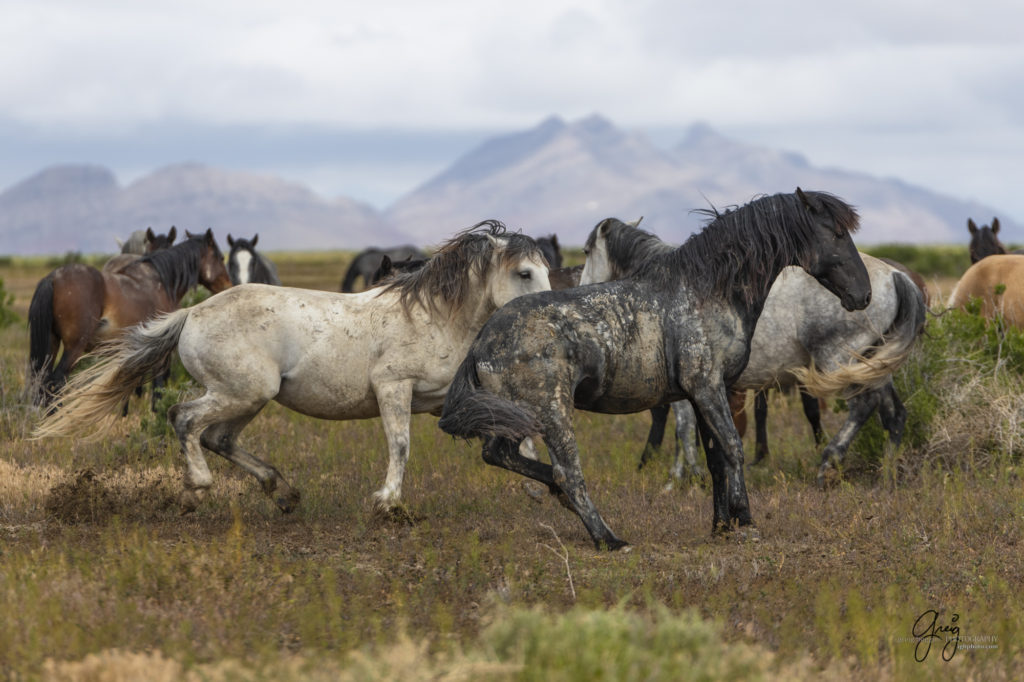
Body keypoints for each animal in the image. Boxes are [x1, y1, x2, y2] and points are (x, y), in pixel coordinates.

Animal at [28, 228, 232, 403]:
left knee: (43, 383)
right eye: (220, 257)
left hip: (52, 344)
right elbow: (158, 387)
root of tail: (53, 278)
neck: (160, 281)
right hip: (74, 348)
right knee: (56, 383)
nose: (227, 286)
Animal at [438, 187, 872, 548]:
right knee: (566, 471)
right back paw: (609, 538)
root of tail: (483, 341)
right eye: (835, 234)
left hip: (513, 415)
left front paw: (721, 526)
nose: (863, 295)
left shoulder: (701, 396)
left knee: (499, 454)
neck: (706, 291)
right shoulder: (708, 388)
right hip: (552, 412)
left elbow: (714, 458)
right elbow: (733, 448)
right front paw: (746, 522)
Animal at [585, 220, 929, 481]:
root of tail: (896, 276)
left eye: (587, 250)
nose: (581, 285)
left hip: (838, 361)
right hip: (873, 366)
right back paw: (886, 476)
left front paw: (683, 477)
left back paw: (829, 461)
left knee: (863, 405)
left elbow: (682, 428)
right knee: (894, 414)